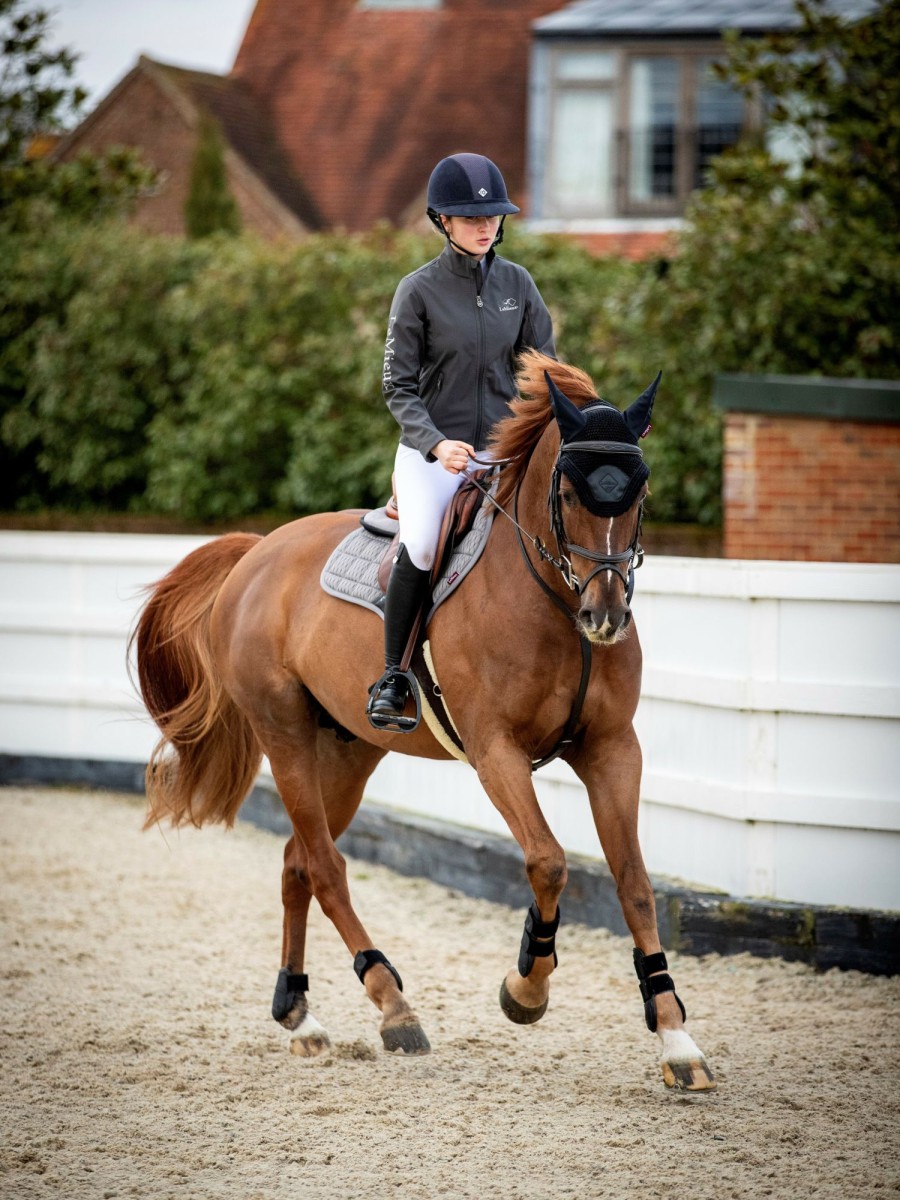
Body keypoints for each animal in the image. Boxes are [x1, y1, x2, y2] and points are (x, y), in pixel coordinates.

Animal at [130, 350, 720, 1099]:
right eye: (566, 495)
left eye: (638, 496)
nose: (606, 616)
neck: (554, 605)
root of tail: (258, 552)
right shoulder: (496, 751)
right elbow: (549, 861)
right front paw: (526, 988)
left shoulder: (614, 750)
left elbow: (636, 884)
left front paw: (675, 1037)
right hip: (283, 732)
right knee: (324, 867)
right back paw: (393, 1005)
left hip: (346, 751)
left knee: (297, 863)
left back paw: (300, 1014)